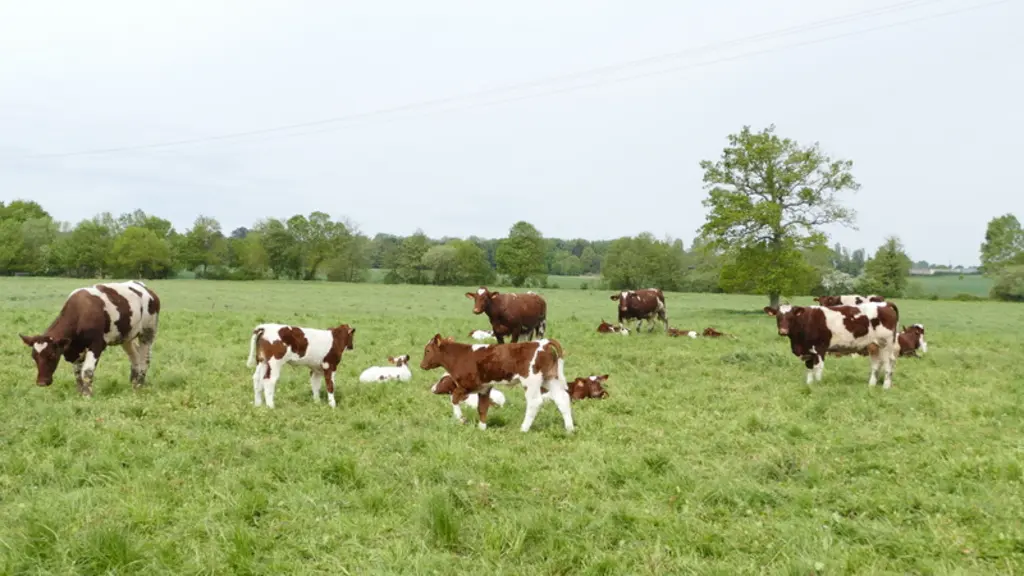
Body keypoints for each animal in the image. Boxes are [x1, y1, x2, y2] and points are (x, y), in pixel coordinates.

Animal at [19, 280, 160, 396]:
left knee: (145, 358)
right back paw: (133, 383)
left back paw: (139, 385)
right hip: (126, 336)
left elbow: (86, 371)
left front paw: (87, 395)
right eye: (34, 356)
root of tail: (147, 289)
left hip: (148, 332)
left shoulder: (96, 344)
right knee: (135, 356)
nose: (41, 382)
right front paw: (81, 392)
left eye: (52, 355)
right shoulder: (76, 349)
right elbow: (77, 373)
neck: (80, 313)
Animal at [421, 334, 574, 433]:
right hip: (550, 379)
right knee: (562, 399)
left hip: (531, 381)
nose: (422, 365)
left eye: (427, 350)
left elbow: (454, 398)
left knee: (535, 402)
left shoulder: (469, 384)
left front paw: (461, 419)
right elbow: (482, 408)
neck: (460, 355)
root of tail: (542, 343)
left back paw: (523, 429)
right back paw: (570, 429)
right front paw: (482, 428)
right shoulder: (484, 388)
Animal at [763, 302, 900, 388]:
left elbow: (818, 368)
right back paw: (871, 385)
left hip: (886, 344)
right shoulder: (808, 352)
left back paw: (886, 386)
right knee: (876, 364)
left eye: (791, 317)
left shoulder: (819, 350)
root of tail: (885, 304)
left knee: (889, 363)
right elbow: (809, 369)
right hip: (874, 346)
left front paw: (818, 385)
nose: (783, 331)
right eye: (778, 316)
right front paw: (809, 385)